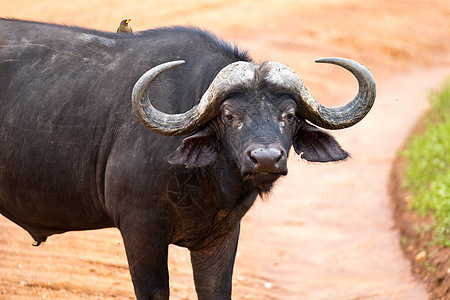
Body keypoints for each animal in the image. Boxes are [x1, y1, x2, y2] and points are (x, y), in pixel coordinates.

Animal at [0, 18, 374, 300]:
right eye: (229, 115)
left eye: (290, 115)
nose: (266, 159)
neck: (203, 181)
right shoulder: (140, 228)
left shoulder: (222, 235)